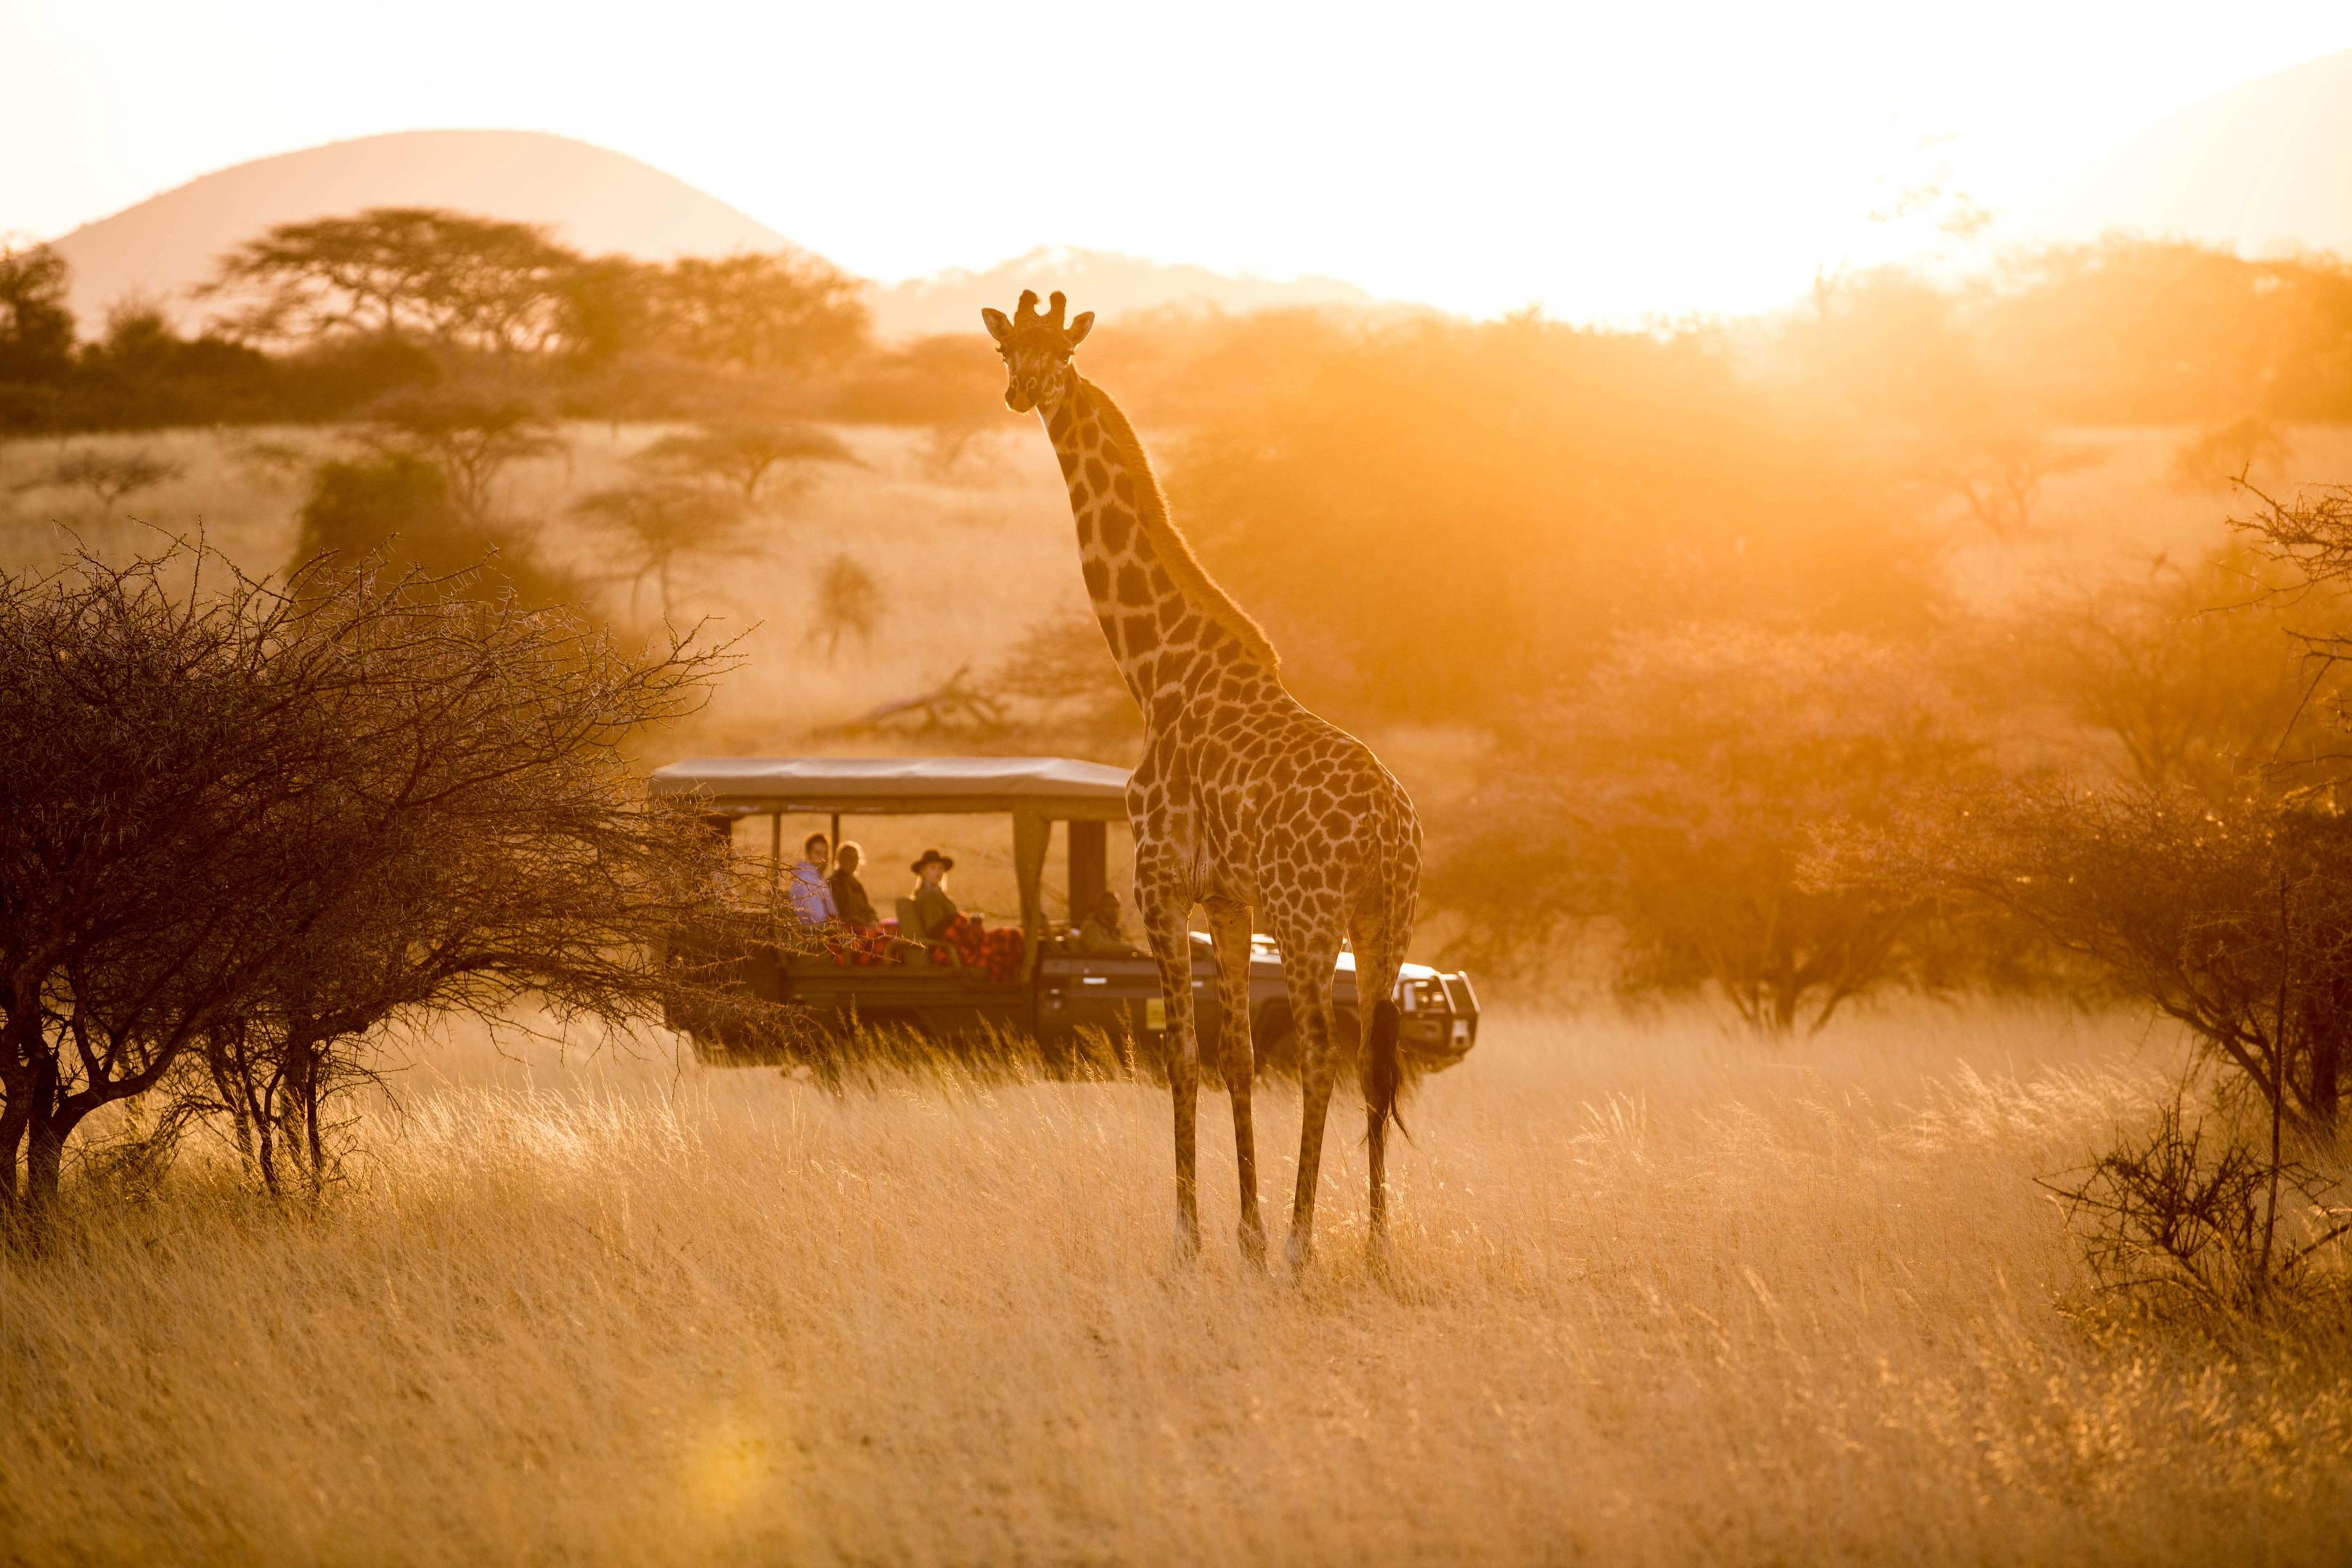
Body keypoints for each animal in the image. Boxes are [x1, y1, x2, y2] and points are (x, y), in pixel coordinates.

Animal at [983, 289, 1423, 1270]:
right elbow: (1236, 1059)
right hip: (1388, 919)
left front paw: (1191, 1241)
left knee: (1325, 1056)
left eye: (1064, 352)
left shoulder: (1160, 883)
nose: (1023, 392)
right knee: (1375, 1063)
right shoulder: (1227, 898)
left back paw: (1305, 1243)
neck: (1156, 673)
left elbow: (1184, 1057)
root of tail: (1388, 823)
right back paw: (1376, 1245)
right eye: (1005, 347)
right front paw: (1244, 1235)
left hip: (1309, 918)